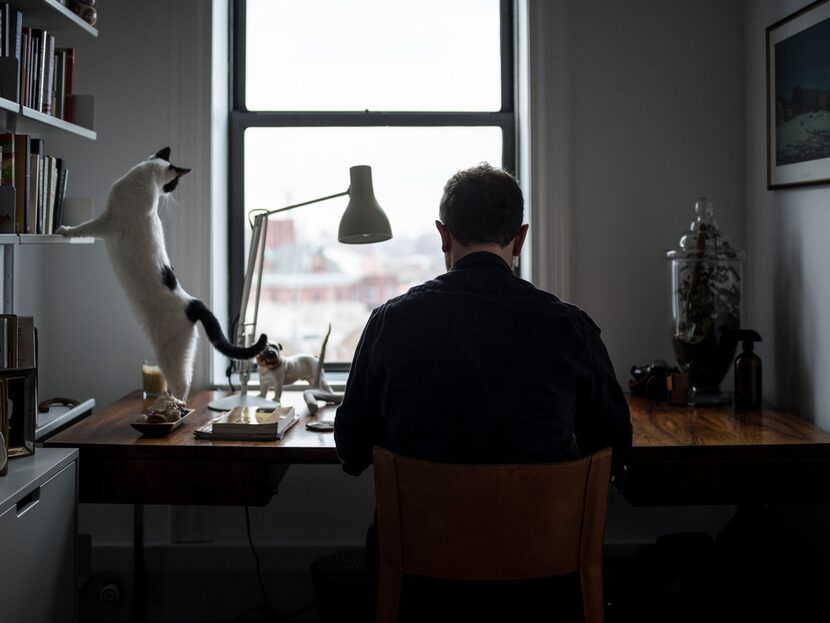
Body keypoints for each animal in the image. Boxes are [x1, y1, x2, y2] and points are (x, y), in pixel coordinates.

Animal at [57, 147, 266, 400]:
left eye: (173, 184)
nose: (171, 191)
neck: (143, 176)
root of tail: (192, 302)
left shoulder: (107, 221)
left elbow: (84, 228)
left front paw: (66, 231)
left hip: (169, 354)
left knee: (182, 385)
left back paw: (173, 405)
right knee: (187, 379)